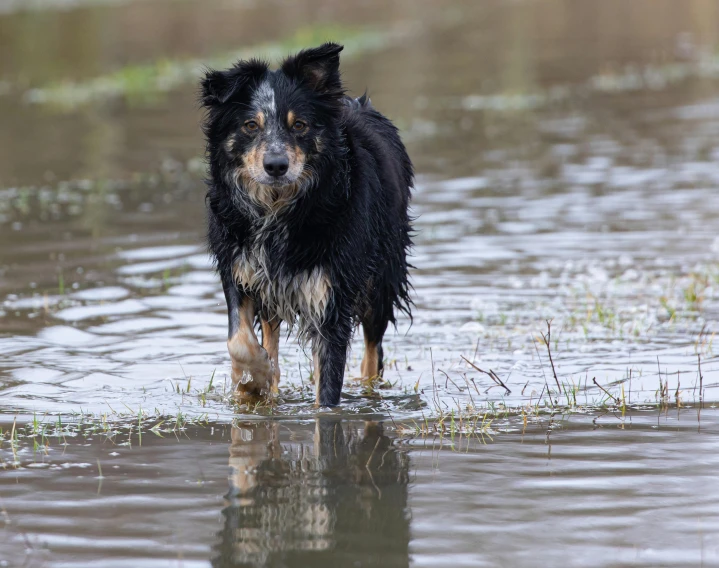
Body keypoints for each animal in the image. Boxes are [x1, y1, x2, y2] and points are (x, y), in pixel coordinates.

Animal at [202, 44, 416, 406]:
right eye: (250, 125)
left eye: (299, 125)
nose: (276, 165)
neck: (278, 209)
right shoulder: (238, 270)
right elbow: (239, 341)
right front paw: (254, 380)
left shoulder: (332, 295)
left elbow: (327, 386)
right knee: (270, 334)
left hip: (380, 279)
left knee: (373, 350)